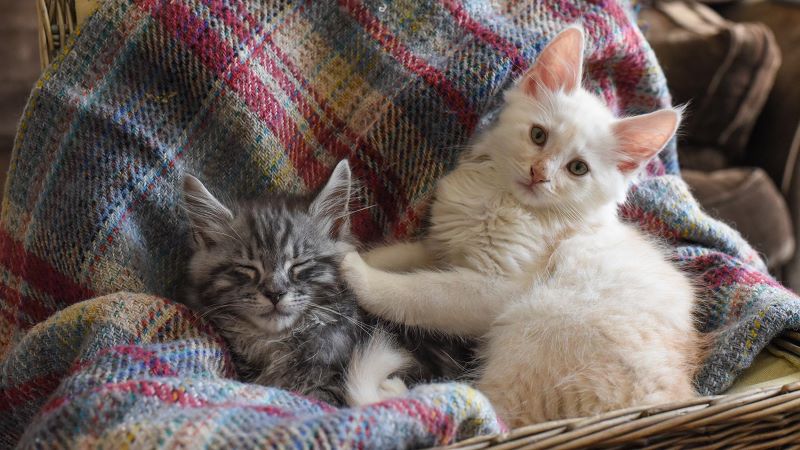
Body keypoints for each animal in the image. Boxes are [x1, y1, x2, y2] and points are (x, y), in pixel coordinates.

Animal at [340, 25, 704, 426]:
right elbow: (397, 255)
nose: (539, 174)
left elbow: (417, 293)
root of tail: (667, 399)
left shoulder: (493, 288)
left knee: (498, 415)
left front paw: (357, 274)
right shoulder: (439, 247)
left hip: (538, 321)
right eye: (538, 135)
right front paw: (346, 250)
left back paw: (403, 397)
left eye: (578, 168)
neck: (501, 200)